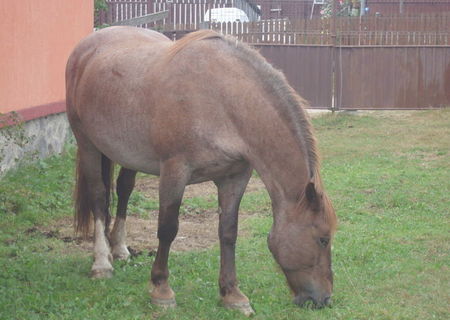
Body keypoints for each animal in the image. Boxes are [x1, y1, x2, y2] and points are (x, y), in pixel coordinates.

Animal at [65, 25, 336, 316]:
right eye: (323, 239)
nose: (324, 299)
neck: (222, 100)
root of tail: (89, 44)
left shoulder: (234, 177)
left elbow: (228, 232)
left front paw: (232, 294)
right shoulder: (175, 171)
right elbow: (167, 228)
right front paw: (161, 290)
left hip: (128, 154)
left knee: (124, 189)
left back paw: (119, 248)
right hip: (87, 143)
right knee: (99, 196)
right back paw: (102, 262)